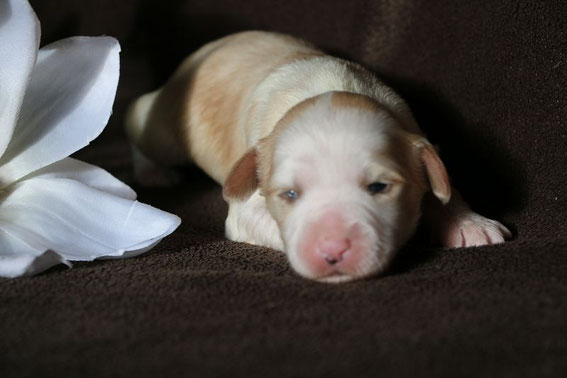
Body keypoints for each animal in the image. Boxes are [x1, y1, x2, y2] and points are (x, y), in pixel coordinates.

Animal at [126, 31, 512, 282]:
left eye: (379, 187)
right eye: (290, 194)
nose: (333, 251)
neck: (331, 89)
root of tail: (213, 45)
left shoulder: (415, 132)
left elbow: (441, 180)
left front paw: (469, 223)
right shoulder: (248, 200)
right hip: (165, 126)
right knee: (140, 119)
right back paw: (151, 172)